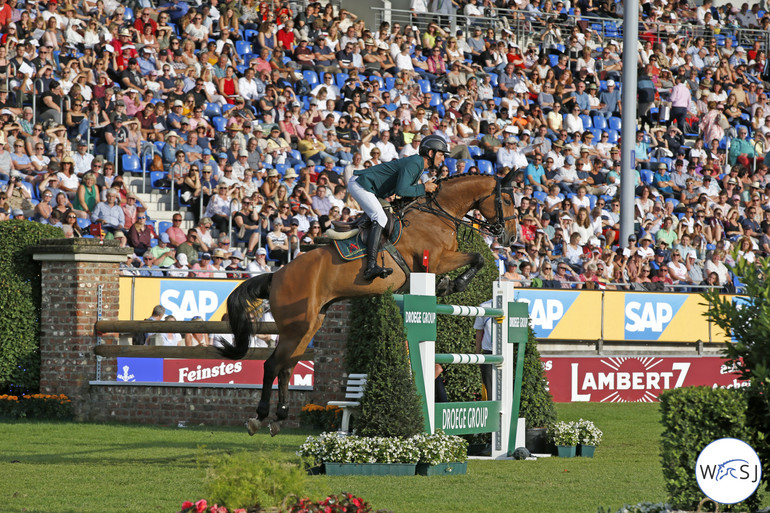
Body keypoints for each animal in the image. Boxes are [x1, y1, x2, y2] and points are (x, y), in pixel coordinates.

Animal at [216, 172, 516, 432]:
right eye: (508, 200)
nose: (511, 236)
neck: (436, 214)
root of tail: (275, 275)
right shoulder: (436, 260)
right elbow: (478, 257)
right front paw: (454, 284)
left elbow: (477, 258)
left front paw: (450, 284)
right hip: (296, 326)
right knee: (271, 366)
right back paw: (259, 417)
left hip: (309, 325)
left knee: (287, 367)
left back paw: (279, 417)